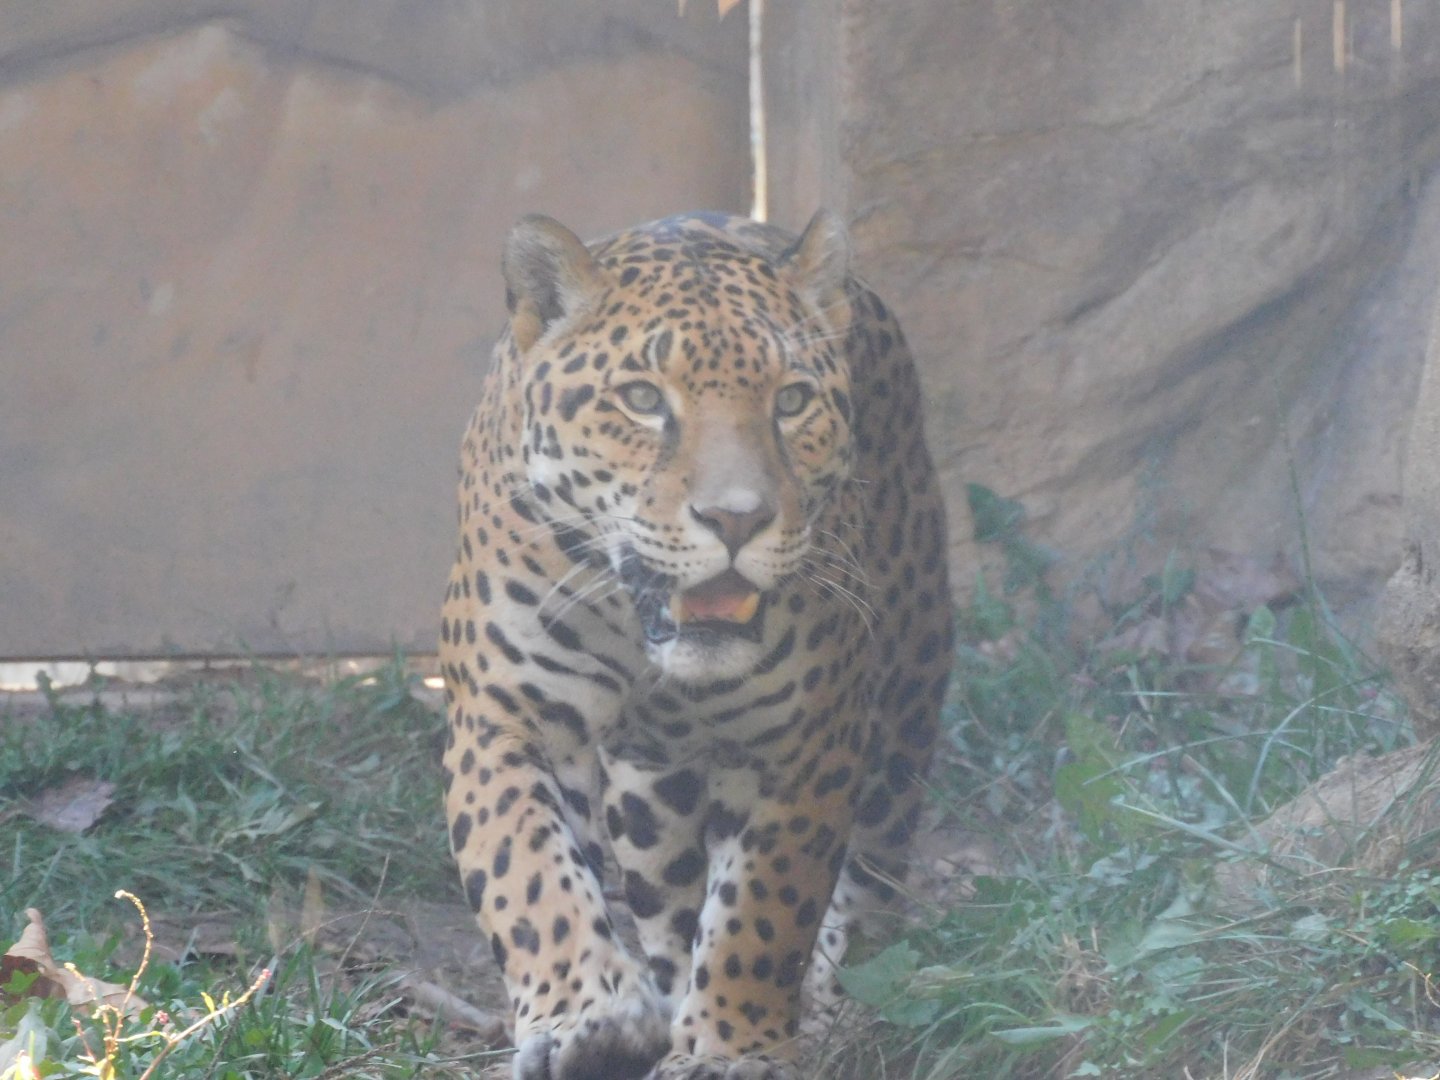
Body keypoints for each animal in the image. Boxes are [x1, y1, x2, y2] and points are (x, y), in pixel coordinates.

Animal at [440, 209, 952, 1080]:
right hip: (649, 803)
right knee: (667, 905)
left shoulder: (808, 742)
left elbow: (762, 911)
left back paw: (847, 991)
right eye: (644, 399)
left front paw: (729, 1050)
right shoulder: (501, 719)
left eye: (792, 401)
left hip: (910, 690)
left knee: (877, 860)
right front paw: (593, 1021)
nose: (737, 519)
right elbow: (530, 871)